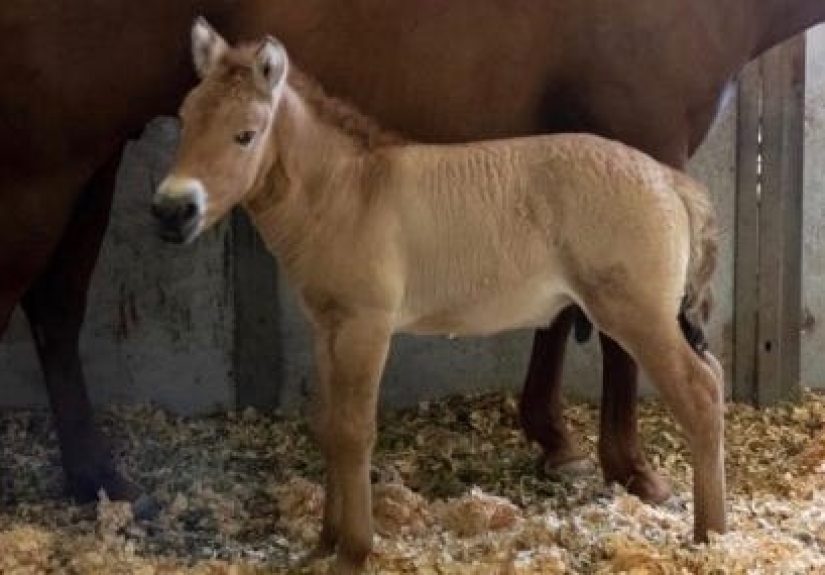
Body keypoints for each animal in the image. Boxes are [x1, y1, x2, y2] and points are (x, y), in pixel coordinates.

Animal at [1, 0, 823, 506]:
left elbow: (559, 310)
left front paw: (553, 438)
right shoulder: (636, 140)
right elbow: (619, 340)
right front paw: (632, 469)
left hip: (92, 162)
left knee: (55, 310)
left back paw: (99, 480)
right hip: (43, 170)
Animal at [152, 23, 723, 573]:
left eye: (245, 135)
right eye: (185, 119)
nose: (172, 211)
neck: (348, 193)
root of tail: (670, 181)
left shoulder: (366, 327)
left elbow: (355, 432)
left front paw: (354, 551)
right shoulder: (326, 328)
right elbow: (329, 427)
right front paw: (322, 544)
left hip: (638, 317)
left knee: (700, 394)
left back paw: (710, 536)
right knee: (712, 378)